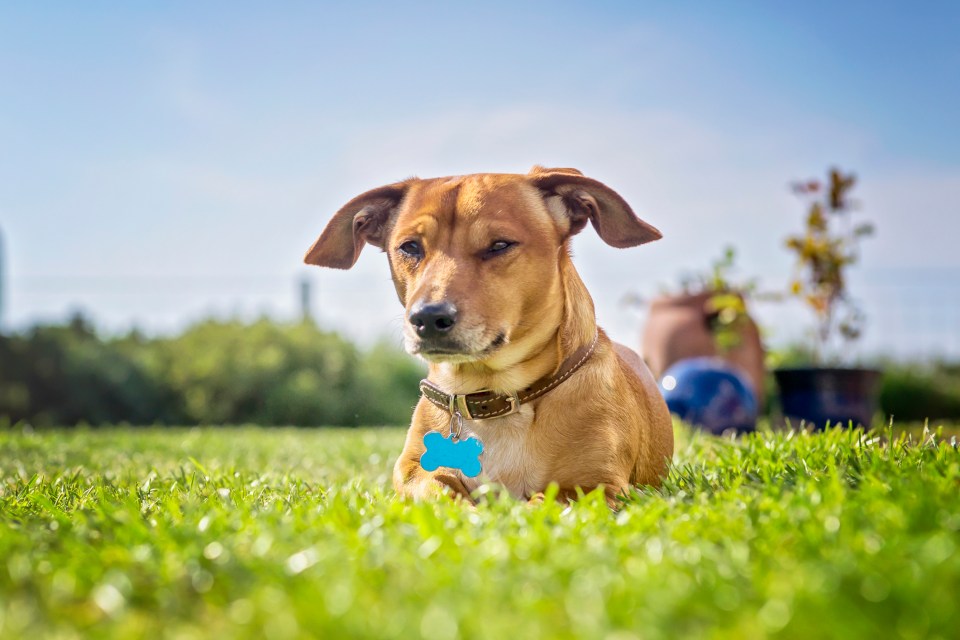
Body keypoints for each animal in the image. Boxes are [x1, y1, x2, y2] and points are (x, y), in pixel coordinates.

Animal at [304, 168, 672, 508]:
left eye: (499, 245)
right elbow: (437, 488)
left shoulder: (600, 486)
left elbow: (547, 500)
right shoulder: (411, 471)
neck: (493, 394)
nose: (427, 317)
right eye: (409, 247)